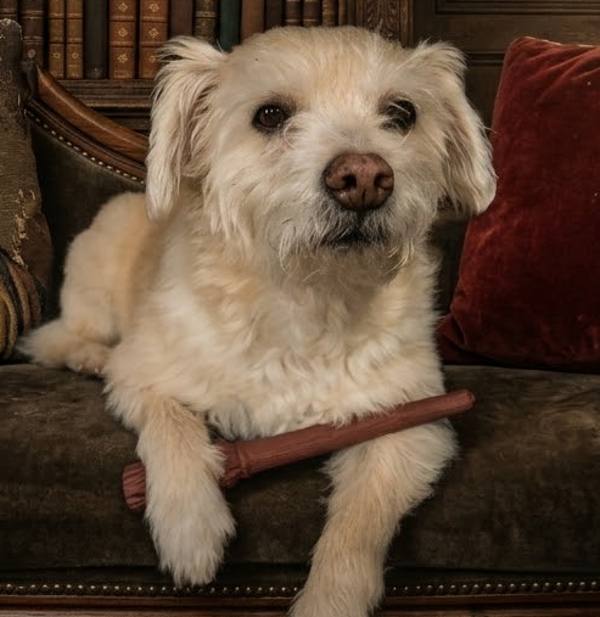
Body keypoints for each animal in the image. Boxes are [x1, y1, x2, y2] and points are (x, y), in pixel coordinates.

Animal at [21, 26, 495, 617]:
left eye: (402, 113)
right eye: (269, 115)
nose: (365, 176)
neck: (305, 294)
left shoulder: (409, 420)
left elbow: (360, 520)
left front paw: (329, 598)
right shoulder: (143, 375)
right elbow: (172, 426)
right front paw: (190, 528)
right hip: (94, 278)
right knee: (54, 337)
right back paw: (88, 356)